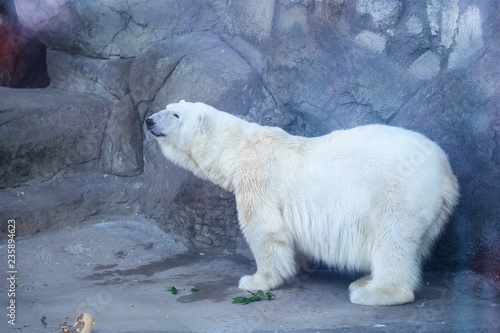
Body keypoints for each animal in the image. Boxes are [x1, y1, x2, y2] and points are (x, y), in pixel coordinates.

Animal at [144, 100, 458, 304]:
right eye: (167, 106)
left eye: (175, 114)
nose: (149, 120)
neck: (238, 149)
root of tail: (445, 170)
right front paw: (297, 265)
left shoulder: (258, 180)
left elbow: (264, 229)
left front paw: (255, 280)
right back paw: (366, 281)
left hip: (397, 192)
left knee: (392, 238)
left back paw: (373, 291)